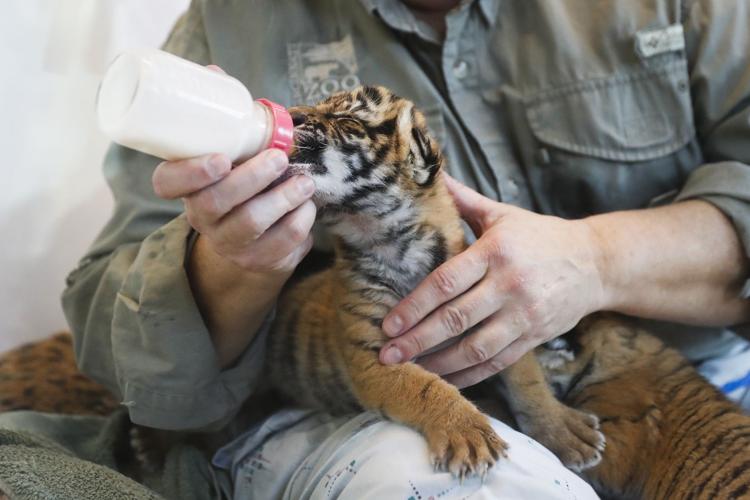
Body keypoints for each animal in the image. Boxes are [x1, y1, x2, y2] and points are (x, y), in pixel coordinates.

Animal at [267, 85, 605, 478]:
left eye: (346, 118)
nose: (290, 114)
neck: (392, 241)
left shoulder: (492, 322)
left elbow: (526, 378)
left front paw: (562, 430)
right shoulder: (372, 356)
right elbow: (424, 386)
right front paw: (467, 431)